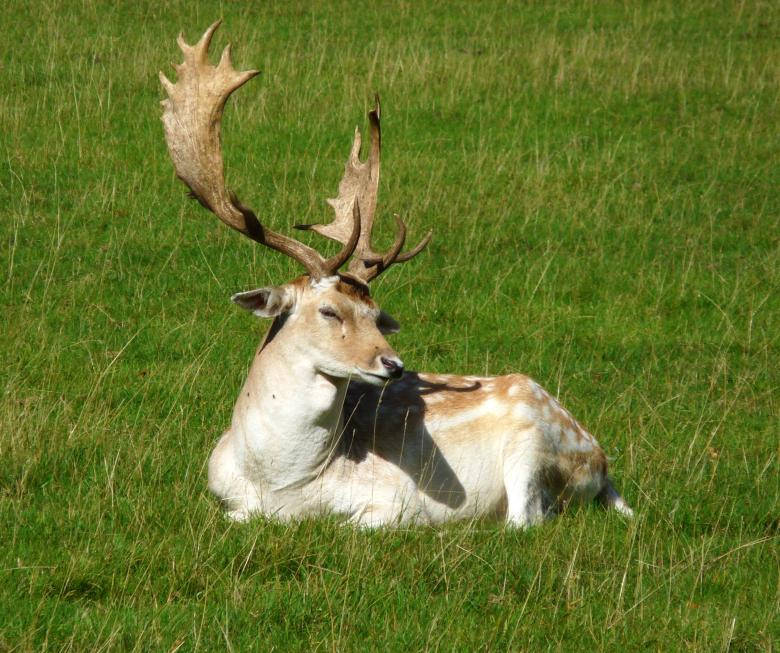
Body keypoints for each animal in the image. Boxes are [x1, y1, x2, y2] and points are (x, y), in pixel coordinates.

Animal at [160, 22, 632, 528]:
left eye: (376, 315)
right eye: (329, 311)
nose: (394, 364)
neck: (280, 483)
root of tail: (601, 462)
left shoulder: (396, 502)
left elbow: (359, 521)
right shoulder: (221, 495)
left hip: (533, 445)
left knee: (526, 521)